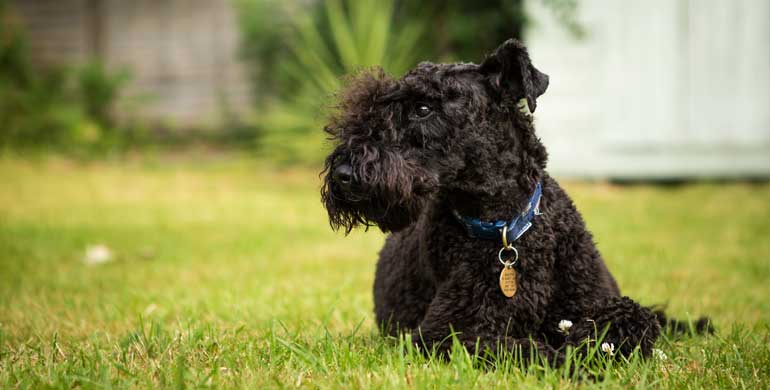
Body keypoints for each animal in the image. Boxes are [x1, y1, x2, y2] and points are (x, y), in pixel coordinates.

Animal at [320, 38, 708, 362]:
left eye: (424, 108)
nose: (343, 174)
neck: (506, 227)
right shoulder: (444, 332)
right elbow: (525, 348)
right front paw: (579, 358)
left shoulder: (595, 299)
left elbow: (633, 316)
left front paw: (595, 343)